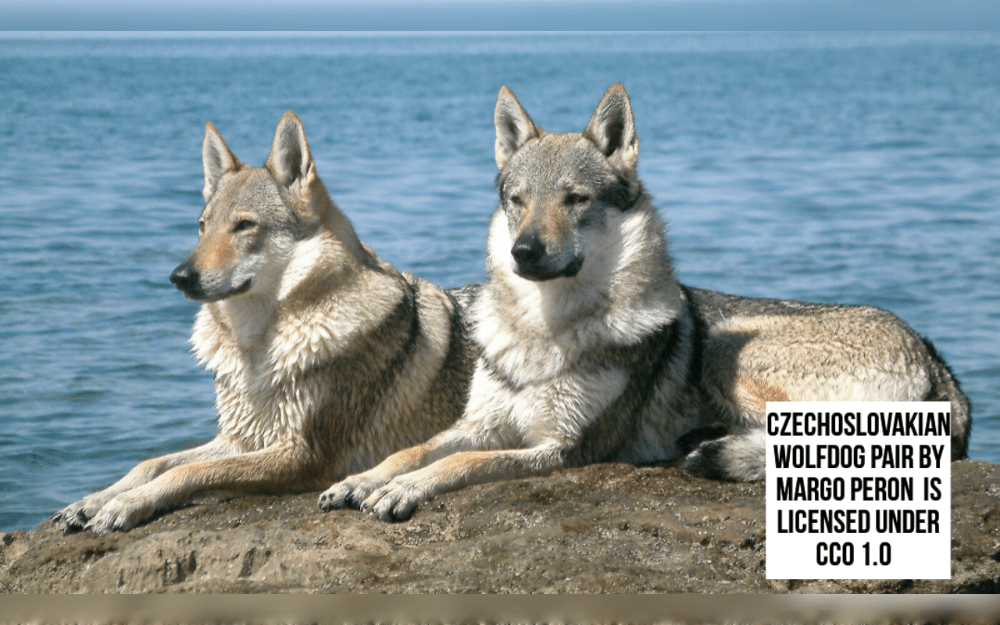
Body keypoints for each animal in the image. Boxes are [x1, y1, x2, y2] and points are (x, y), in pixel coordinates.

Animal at [51, 112, 476, 533]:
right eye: (202, 226)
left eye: (244, 225)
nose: (179, 276)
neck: (256, 348)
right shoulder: (243, 437)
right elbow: (152, 462)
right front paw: (91, 501)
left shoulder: (302, 454)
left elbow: (187, 472)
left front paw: (124, 505)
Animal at [318, 83, 971, 522]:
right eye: (517, 200)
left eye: (575, 199)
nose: (524, 252)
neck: (546, 330)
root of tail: (940, 365)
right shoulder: (480, 422)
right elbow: (415, 448)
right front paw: (363, 479)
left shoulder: (561, 448)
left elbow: (460, 465)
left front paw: (400, 490)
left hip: (730, 357)